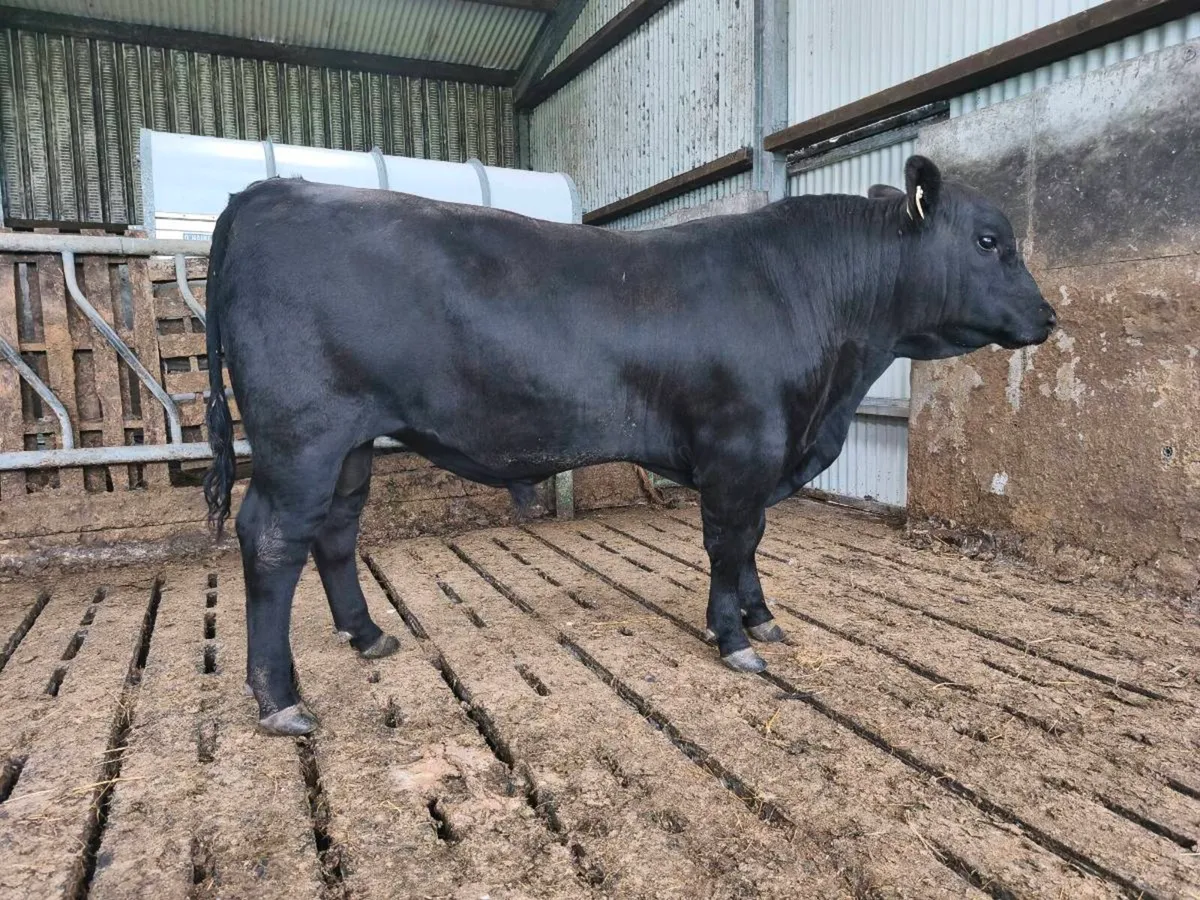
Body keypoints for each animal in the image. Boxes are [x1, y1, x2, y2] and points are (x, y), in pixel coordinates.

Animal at [203, 155, 1055, 735]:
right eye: (990, 240)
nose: (1048, 317)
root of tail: (269, 191)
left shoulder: (764, 453)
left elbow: (753, 541)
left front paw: (762, 618)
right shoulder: (741, 445)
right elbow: (728, 543)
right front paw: (734, 638)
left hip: (348, 445)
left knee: (335, 532)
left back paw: (368, 636)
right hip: (301, 438)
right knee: (272, 540)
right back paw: (279, 698)